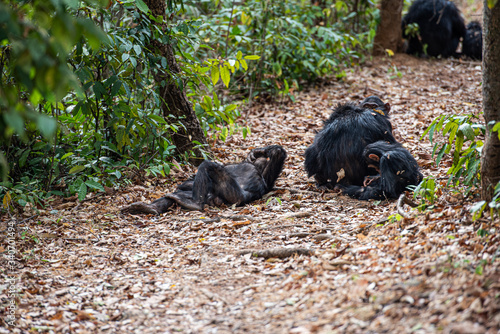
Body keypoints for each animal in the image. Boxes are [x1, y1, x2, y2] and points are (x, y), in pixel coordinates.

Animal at [121, 145, 288, 214]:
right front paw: (258, 152)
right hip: (213, 198)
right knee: (178, 195)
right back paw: (148, 207)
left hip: (233, 195)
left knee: (208, 166)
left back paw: (194, 204)